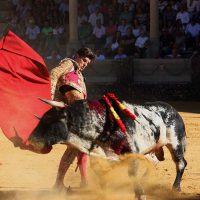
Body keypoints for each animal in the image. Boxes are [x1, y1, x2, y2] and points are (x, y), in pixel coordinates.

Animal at [28, 96, 188, 199]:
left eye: (49, 119)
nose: (31, 141)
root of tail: (173, 111)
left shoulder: (132, 152)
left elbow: (132, 173)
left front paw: (140, 194)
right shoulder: (100, 154)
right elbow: (101, 173)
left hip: (176, 144)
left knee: (180, 163)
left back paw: (176, 188)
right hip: (151, 149)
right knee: (154, 161)